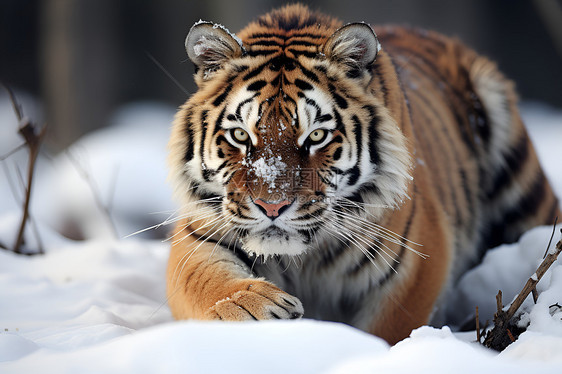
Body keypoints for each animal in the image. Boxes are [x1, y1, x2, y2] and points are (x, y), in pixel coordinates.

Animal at [164, 3, 556, 344]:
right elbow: (204, 280)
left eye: (316, 136)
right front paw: (251, 308)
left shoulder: (415, 260)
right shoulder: (198, 232)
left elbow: (388, 331)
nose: (271, 207)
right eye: (240, 135)